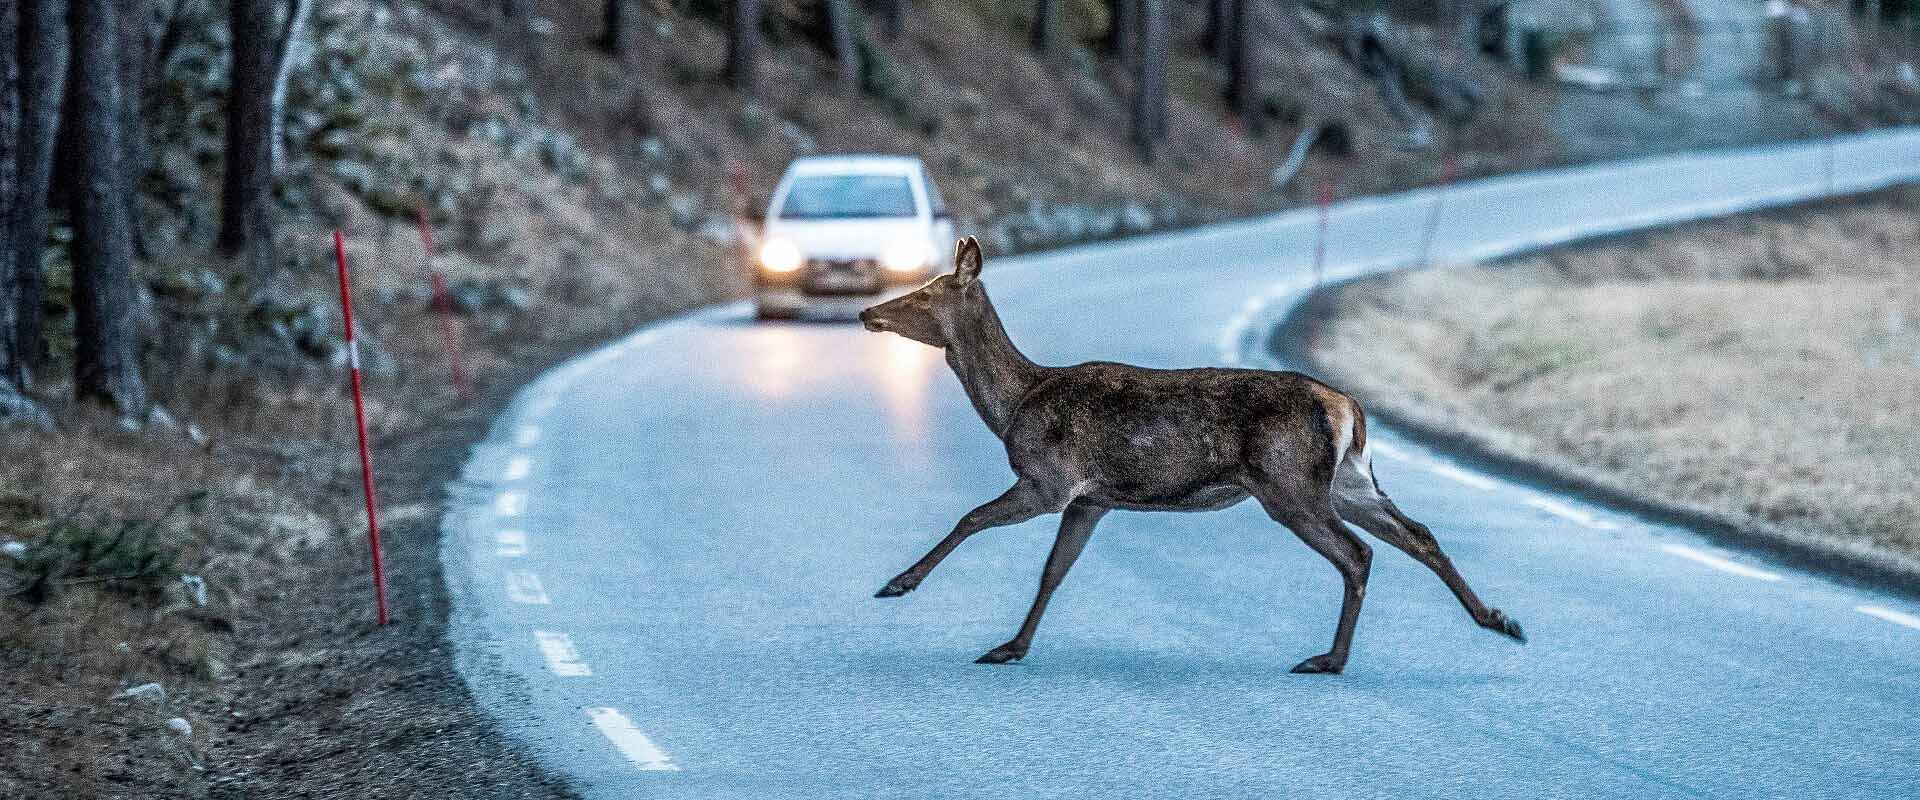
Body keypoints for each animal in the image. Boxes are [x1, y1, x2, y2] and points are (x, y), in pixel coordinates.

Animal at [864, 234, 1520, 671]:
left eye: (926, 295)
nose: (869, 311)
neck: (1016, 405)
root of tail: (1349, 409)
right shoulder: (1091, 499)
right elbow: (1055, 569)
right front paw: (1012, 646)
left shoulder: (1051, 480)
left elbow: (971, 517)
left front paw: (898, 583)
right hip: (1348, 480)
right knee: (1418, 533)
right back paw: (1498, 620)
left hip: (1289, 483)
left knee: (1357, 553)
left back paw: (1330, 659)